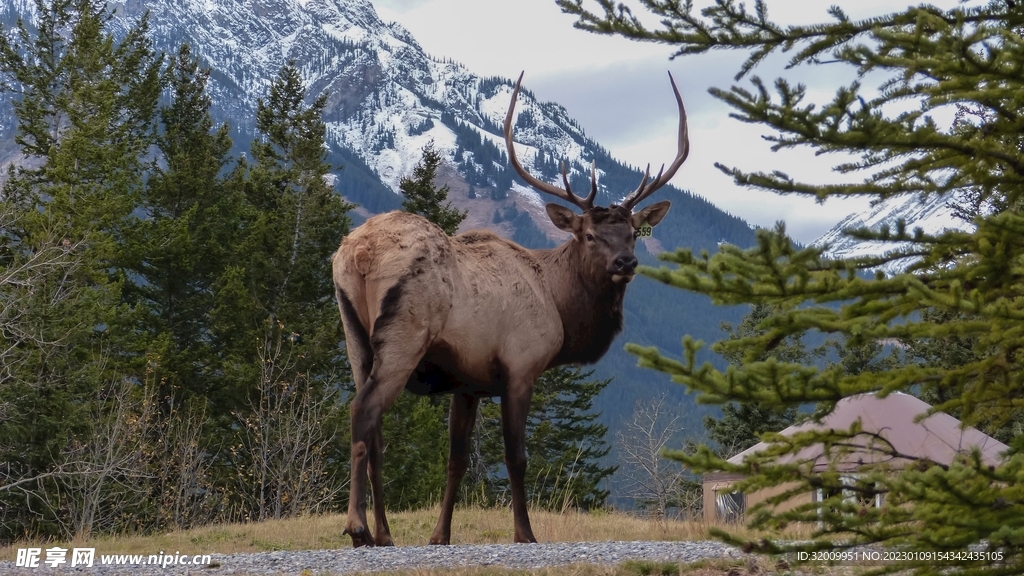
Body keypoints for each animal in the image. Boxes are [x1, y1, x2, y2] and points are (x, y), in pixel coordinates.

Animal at [332, 71, 689, 548]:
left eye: (633, 232)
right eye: (590, 235)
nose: (625, 263)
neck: (559, 304)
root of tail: (359, 252)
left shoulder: (466, 383)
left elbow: (457, 460)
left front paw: (440, 535)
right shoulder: (521, 366)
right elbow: (516, 456)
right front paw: (525, 533)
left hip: (355, 339)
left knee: (373, 430)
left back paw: (384, 534)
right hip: (403, 338)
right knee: (363, 413)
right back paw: (357, 529)